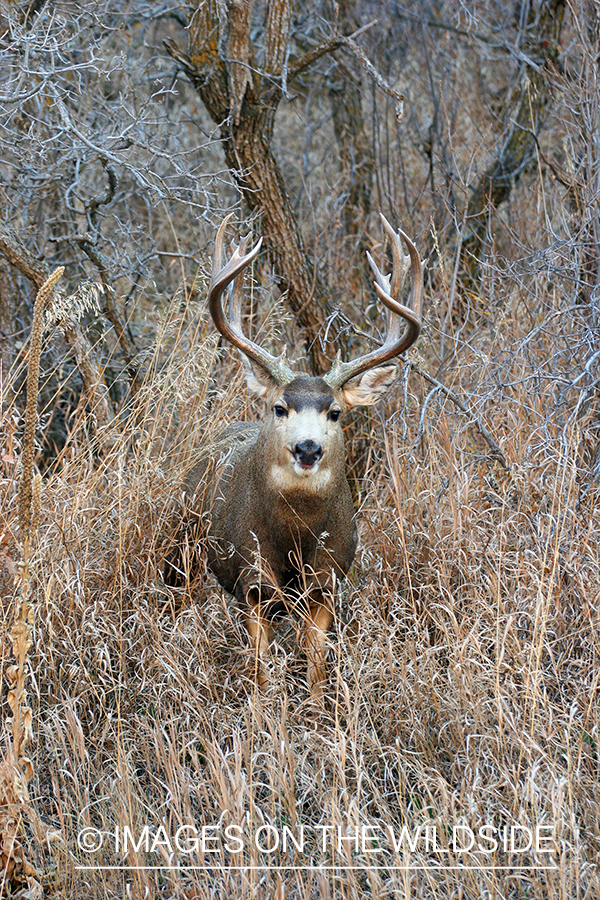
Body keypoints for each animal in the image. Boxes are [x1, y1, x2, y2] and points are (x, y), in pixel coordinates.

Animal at [166, 213, 423, 699]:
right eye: (280, 407)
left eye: (335, 412)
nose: (307, 448)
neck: (294, 538)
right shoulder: (252, 577)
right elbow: (262, 670)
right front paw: (264, 713)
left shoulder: (327, 579)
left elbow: (317, 664)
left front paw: (319, 709)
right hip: (184, 546)